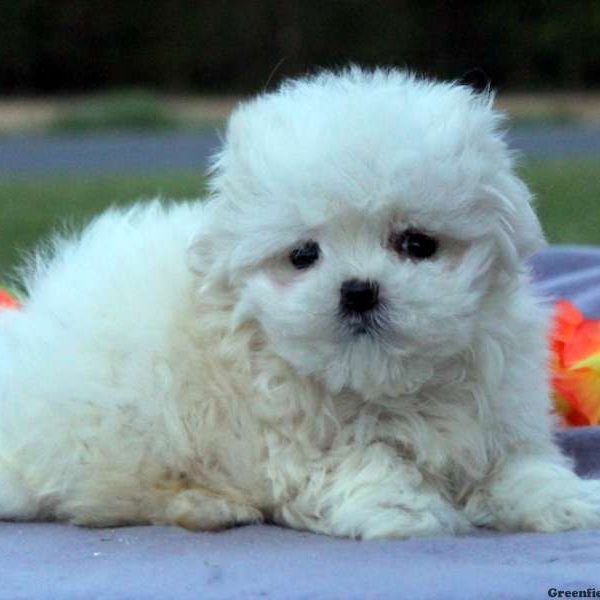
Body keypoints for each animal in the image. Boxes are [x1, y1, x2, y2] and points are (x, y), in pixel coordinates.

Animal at [1, 67, 600, 540]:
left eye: (416, 243)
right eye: (303, 254)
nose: (358, 290)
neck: (384, 386)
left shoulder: (498, 413)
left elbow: (519, 466)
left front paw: (566, 501)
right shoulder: (293, 448)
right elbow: (366, 464)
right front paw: (407, 510)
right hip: (119, 419)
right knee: (106, 495)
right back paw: (209, 504)